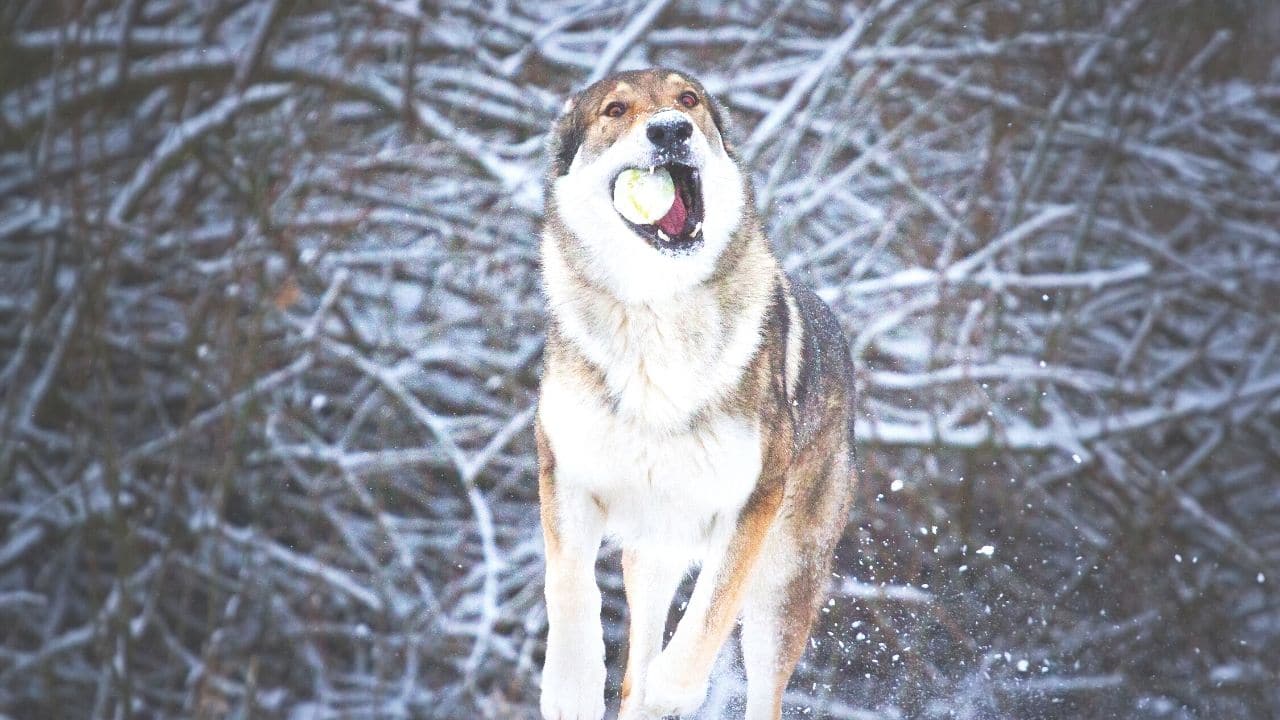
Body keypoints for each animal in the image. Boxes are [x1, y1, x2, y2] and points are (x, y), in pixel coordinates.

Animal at [535, 68, 855, 717]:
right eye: (615, 110)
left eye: (688, 100)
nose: (669, 130)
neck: (656, 311)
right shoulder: (564, 472)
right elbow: (570, 589)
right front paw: (569, 689)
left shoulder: (750, 503)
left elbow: (706, 618)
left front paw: (675, 690)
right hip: (652, 553)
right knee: (635, 662)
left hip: (783, 586)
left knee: (761, 691)